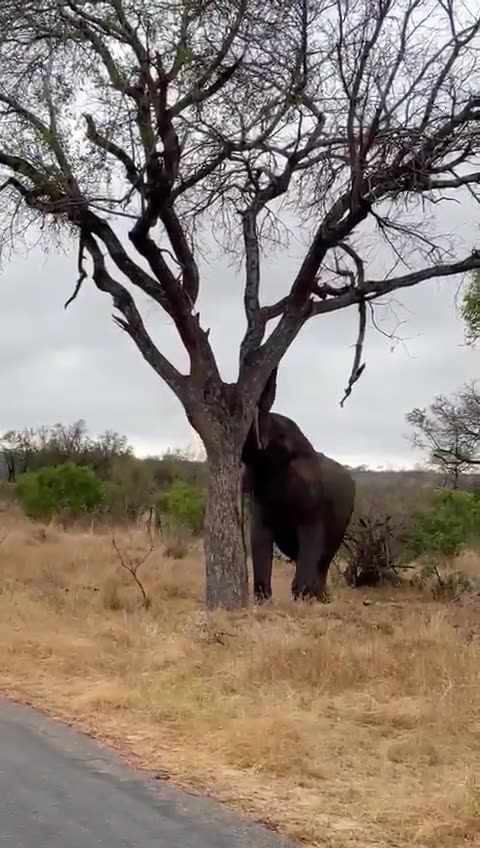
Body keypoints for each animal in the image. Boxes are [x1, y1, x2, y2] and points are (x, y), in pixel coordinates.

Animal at [241, 368, 355, 602]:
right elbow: (259, 536)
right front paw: (263, 600)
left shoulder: (313, 498)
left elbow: (311, 539)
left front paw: (301, 598)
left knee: (324, 557)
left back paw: (319, 598)